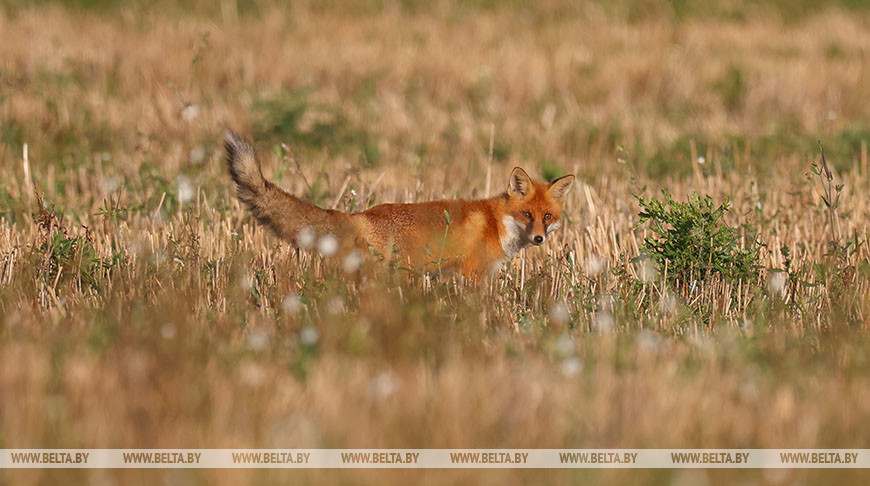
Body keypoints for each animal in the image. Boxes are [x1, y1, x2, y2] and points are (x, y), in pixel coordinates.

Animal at [228, 131, 576, 280]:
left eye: (547, 217)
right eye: (527, 214)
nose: (538, 238)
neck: (497, 221)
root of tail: (360, 215)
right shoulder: (471, 272)